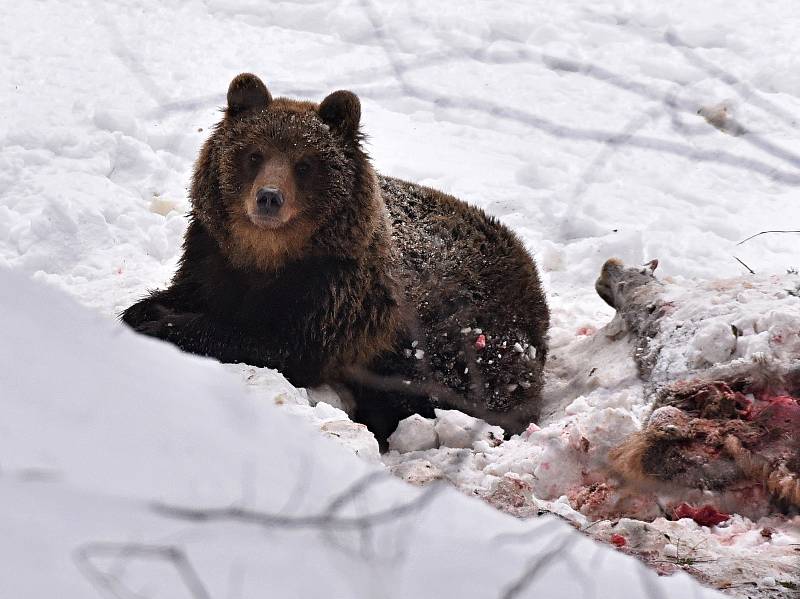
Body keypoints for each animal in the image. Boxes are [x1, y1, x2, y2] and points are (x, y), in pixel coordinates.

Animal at [123, 72, 552, 442]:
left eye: (304, 163)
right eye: (254, 154)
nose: (269, 197)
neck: (267, 256)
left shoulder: (335, 295)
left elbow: (273, 341)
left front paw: (164, 325)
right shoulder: (212, 257)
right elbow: (188, 293)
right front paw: (142, 311)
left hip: (463, 333)